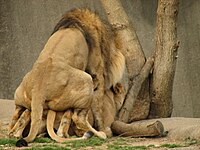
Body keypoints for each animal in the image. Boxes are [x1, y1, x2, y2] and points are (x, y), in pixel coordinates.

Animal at [9, 8, 125, 146]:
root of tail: (39, 89)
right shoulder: (97, 73)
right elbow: (98, 107)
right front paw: (104, 129)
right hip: (87, 80)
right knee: (79, 118)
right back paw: (99, 134)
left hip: (20, 96)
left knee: (15, 118)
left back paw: (14, 133)